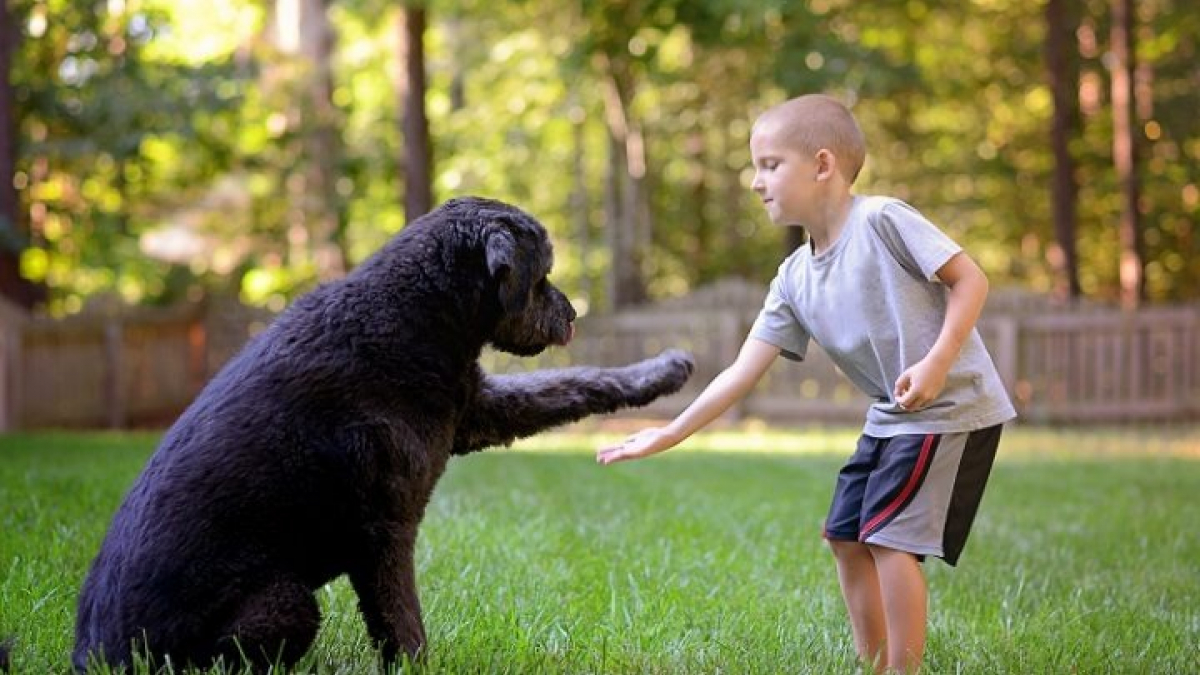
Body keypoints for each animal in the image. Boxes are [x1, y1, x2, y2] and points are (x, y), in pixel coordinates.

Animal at [70, 193, 696, 667]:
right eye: (542, 276)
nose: (571, 314)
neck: (410, 315)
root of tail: (94, 657)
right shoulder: (385, 533)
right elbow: (403, 624)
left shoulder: (475, 411)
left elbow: (575, 384)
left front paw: (663, 372)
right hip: (283, 602)